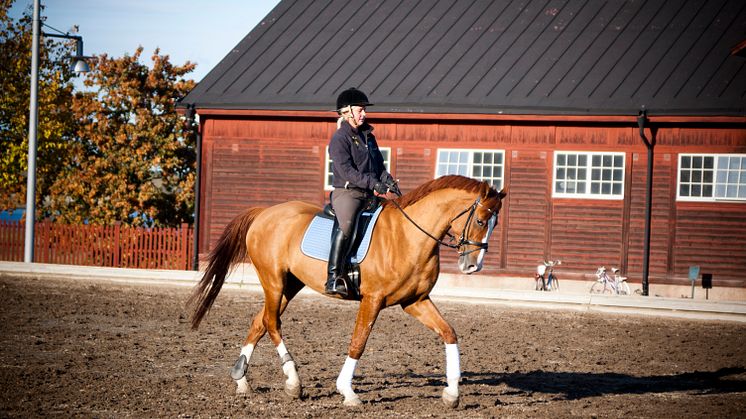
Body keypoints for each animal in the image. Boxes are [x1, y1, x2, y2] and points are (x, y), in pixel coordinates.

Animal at [189, 176, 508, 408]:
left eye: (495, 223)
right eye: (481, 220)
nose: (472, 266)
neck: (410, 236)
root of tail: (264, 213)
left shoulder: (415, 301)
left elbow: (449, 333)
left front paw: (452, 394)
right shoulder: (373, 299)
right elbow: (358, 343)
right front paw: (348, 392)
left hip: (290, 285)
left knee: (260, 321)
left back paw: (242, 380)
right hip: (273, 280)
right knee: (271, 322)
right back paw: (293, 382)